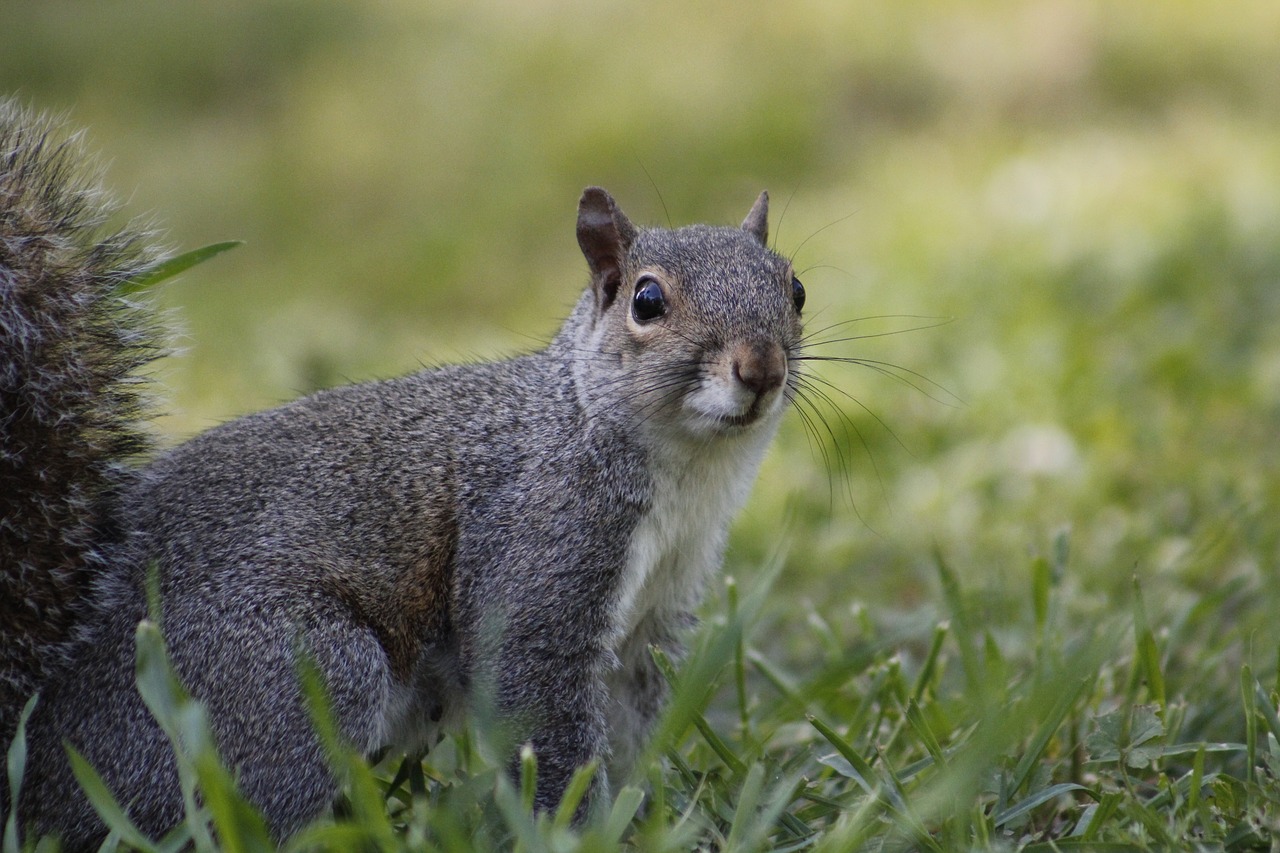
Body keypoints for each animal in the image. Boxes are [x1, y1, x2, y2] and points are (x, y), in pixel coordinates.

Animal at [2, 97, 808, 845]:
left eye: (795, 288)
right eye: (647, 300)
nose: (761, 368)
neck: (686, 470)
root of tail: (37, 757)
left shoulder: (653, 619)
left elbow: (633, 728)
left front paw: (649, 817)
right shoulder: (539, 545)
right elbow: (537, 705)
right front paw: (574, 828)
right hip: (290, 678)